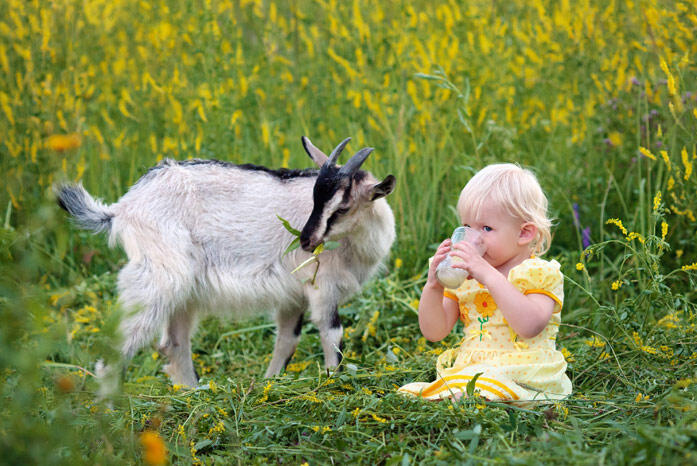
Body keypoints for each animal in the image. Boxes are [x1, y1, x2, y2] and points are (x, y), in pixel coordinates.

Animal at [57, 137, 394, 388]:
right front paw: (332, 383)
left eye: (343, 206)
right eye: (315, 198)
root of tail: (119, 209)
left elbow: (287, 340)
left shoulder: (292, 295)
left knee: (174, 344)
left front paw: (269, 384)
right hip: (156, 277)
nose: (306, 241)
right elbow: (331, 334)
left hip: (182, 291)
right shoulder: (321, 285)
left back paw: (192, 395)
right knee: (117, 351)